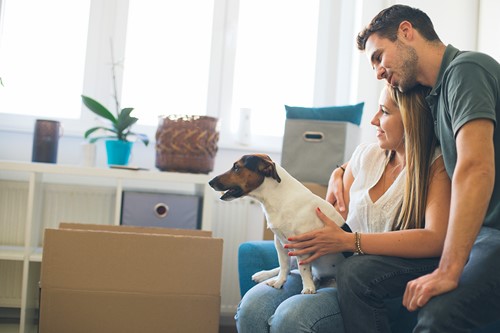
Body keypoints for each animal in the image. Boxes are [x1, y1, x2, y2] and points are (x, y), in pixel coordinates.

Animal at [207, 153, 352, 294]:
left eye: (236, 167)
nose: (210, 182)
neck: (280, 198)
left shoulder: (301, 247)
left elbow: (303, 269)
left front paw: (307, 287)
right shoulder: (280, 243)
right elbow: (283, 265)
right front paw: (279, 281)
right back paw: (264, 275)